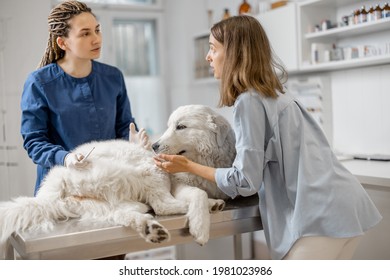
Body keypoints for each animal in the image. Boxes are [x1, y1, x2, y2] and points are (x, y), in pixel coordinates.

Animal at [0, 105, 235, 258]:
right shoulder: (176, 181)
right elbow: (198, 193)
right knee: (162, 205)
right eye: (170, 126)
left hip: (105, 203)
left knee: (124, 214)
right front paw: (200, 226)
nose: (154, 146)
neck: (205, 159)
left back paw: (150, 228)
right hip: (149, 168)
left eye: (181, 127)